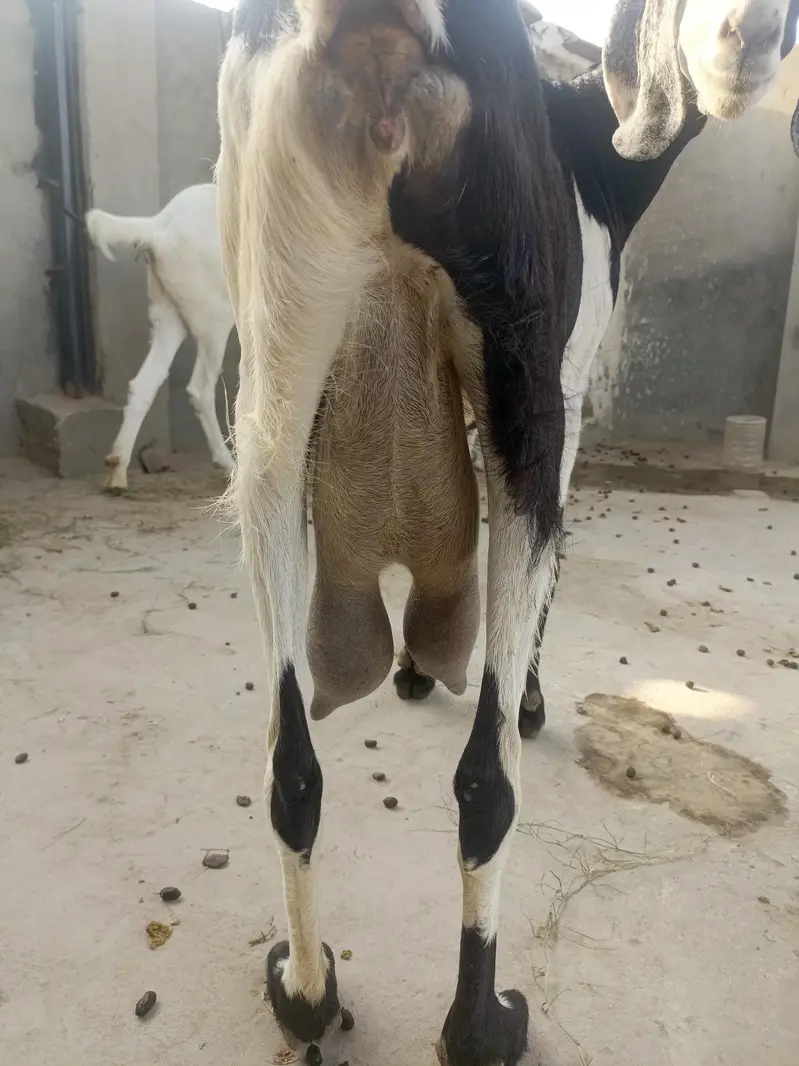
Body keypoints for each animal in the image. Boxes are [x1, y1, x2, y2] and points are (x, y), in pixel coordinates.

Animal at [85, 183, 234, 492]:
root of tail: (158, 226)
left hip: (169, 317)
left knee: (143, 384)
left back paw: (117, 471)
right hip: (214, 319)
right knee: (200, 389)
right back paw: (229, 464)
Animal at [217, 2, 798, 1063]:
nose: (748, 36)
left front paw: (412, 670)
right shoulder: (562, 391)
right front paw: (521, 694)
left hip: (273, 379)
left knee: (289, 763)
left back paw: (306, 993)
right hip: (524, 379)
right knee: (487, 781)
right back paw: (483, 1024)